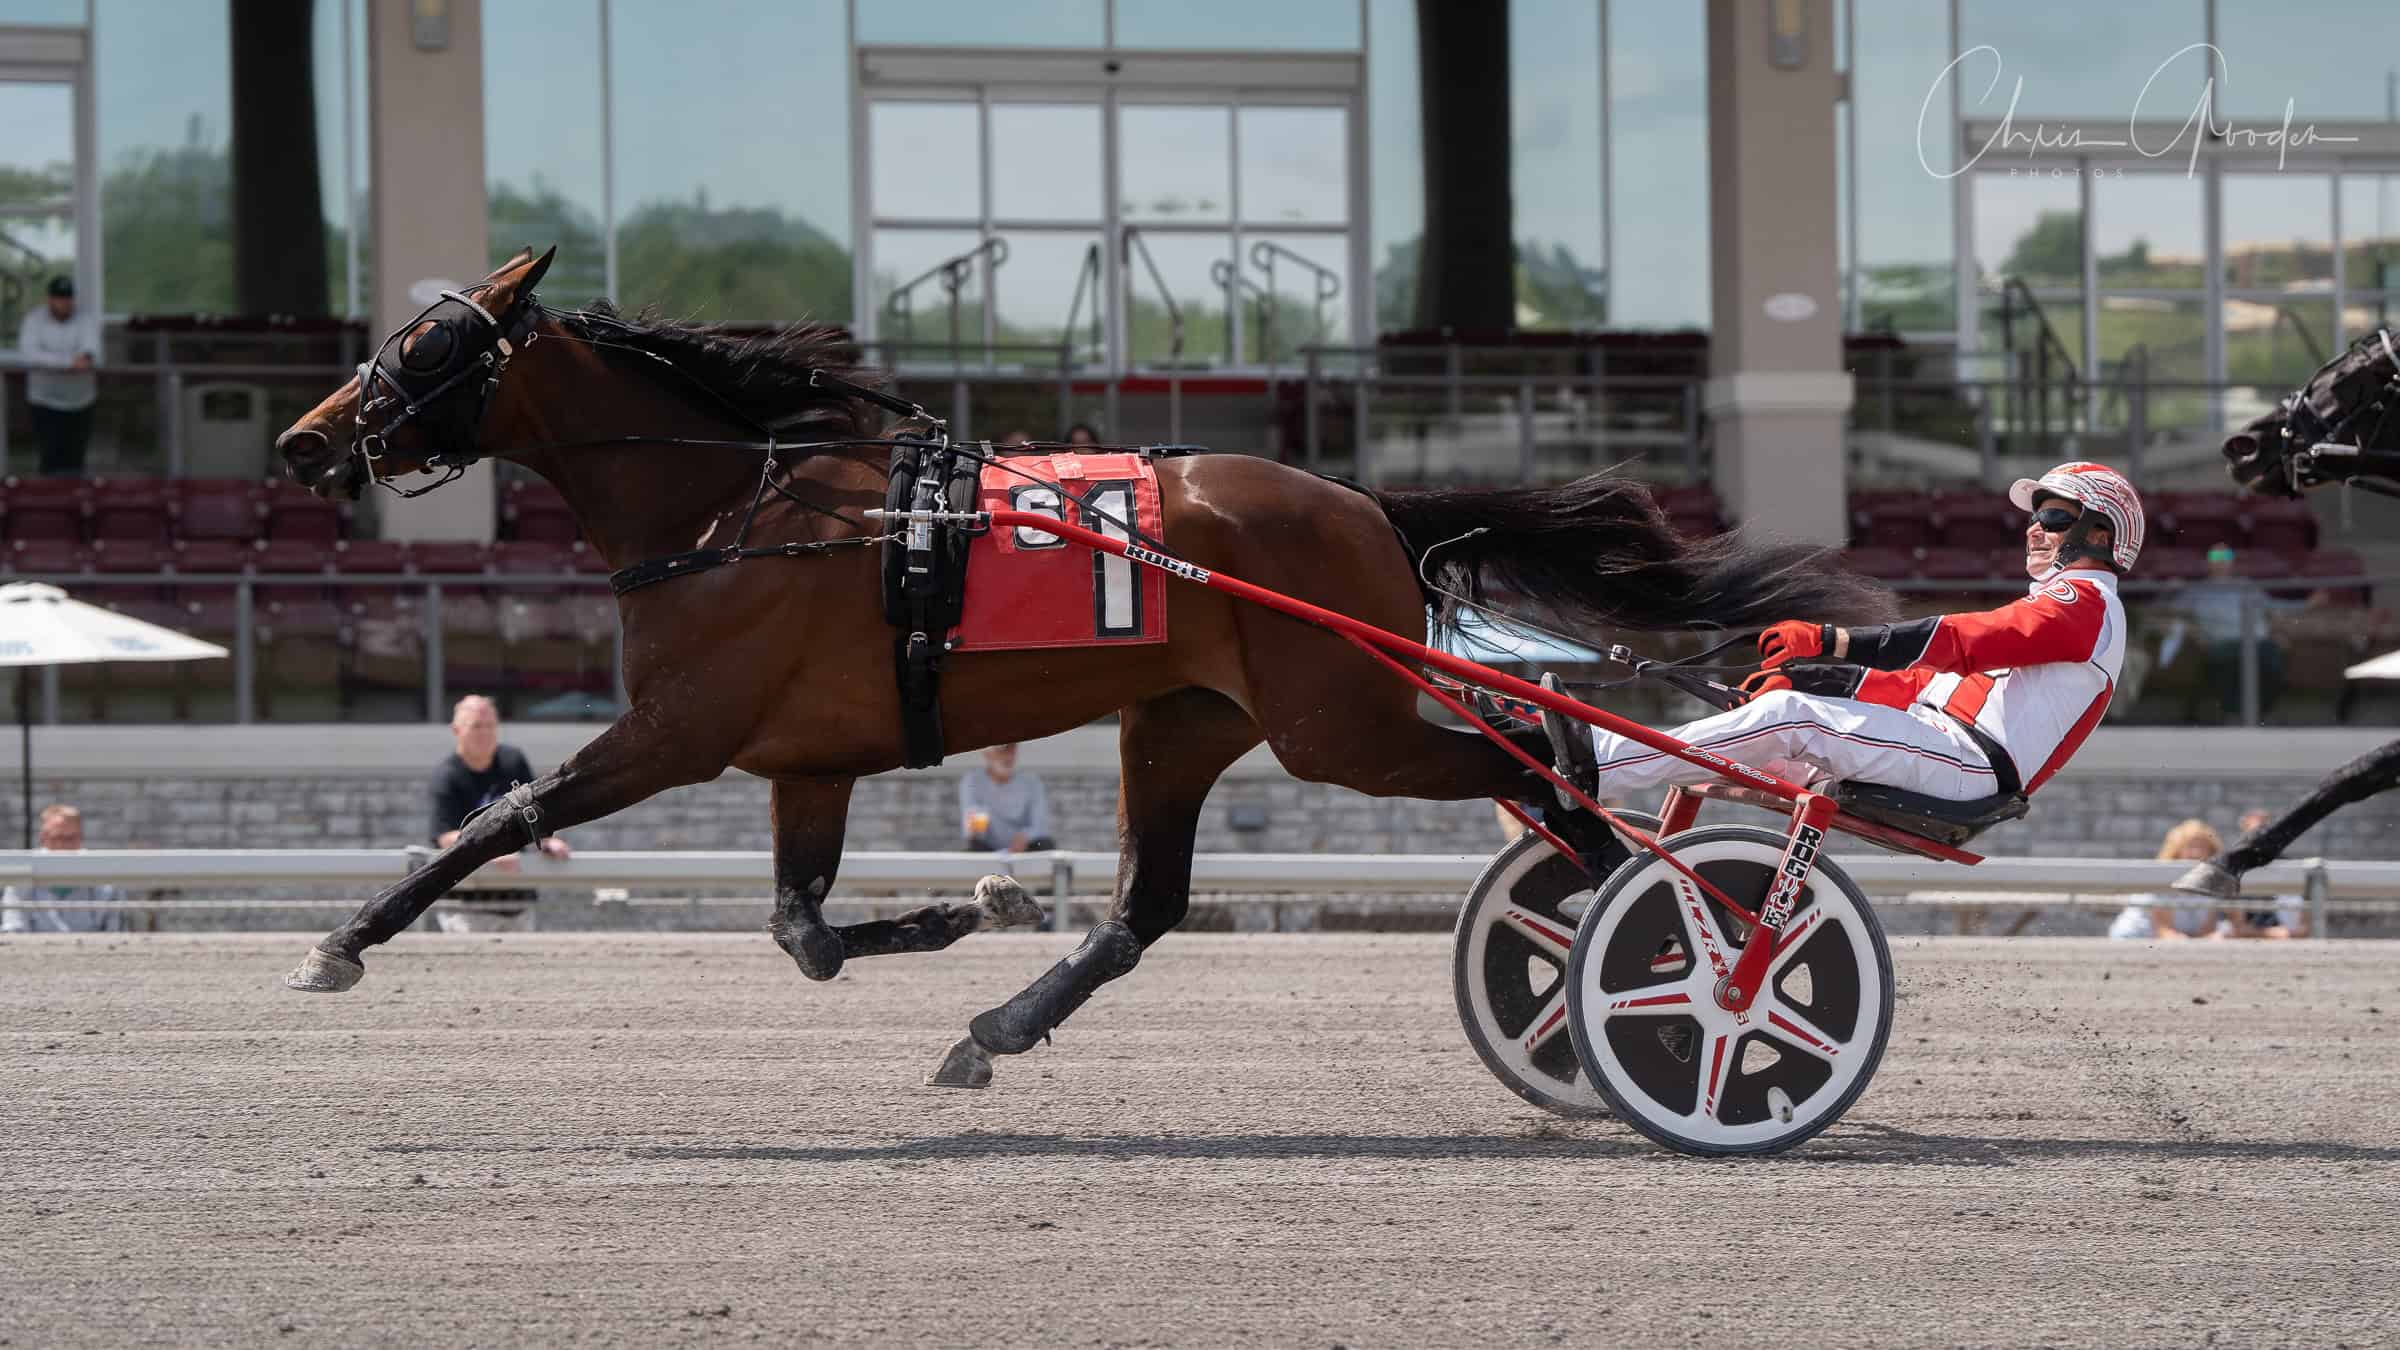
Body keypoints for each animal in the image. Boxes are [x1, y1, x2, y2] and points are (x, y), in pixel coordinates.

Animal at [272, 246, 1895, 1087]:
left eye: (428, 346)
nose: (299, 441)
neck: (741, 505)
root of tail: (1366, 504)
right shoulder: (807, 758)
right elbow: (802, 929)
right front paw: (963, 908)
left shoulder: (679, 730)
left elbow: (498, 819)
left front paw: (338, 938)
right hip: (1184, 722)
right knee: (1151, 905)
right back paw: (998, 1026)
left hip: (1340, 724)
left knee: (1548, 770)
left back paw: (1688, 956)